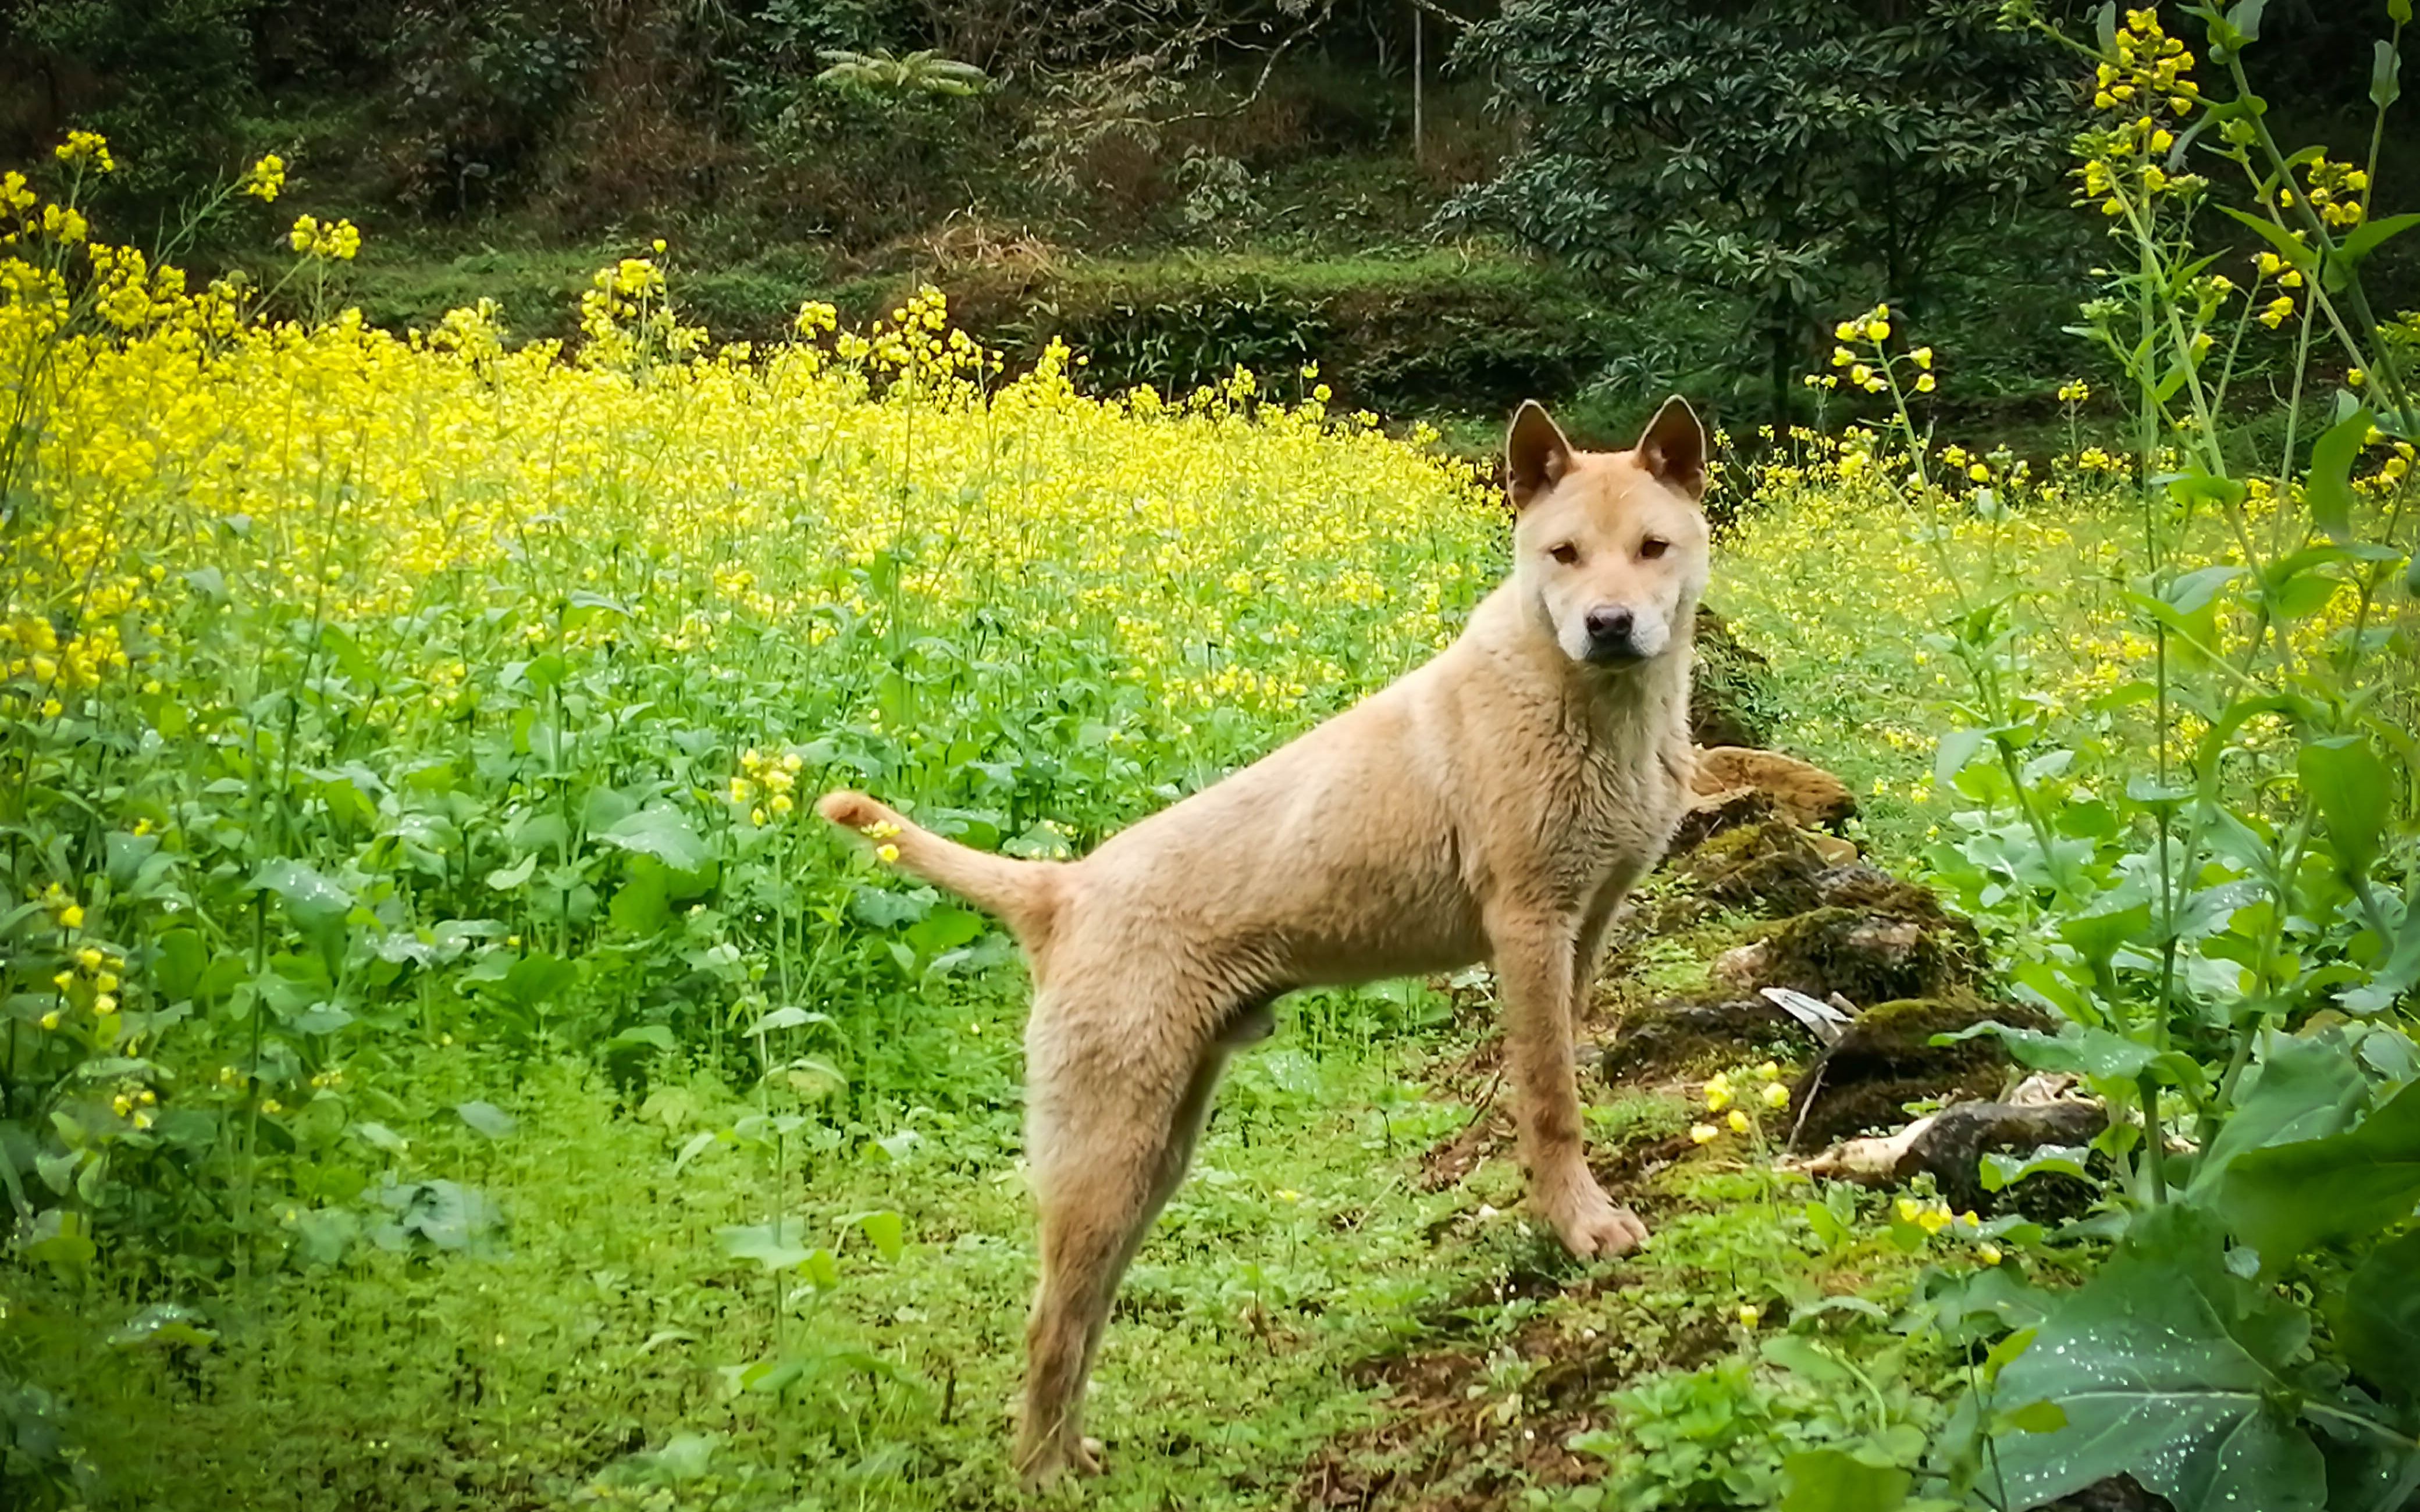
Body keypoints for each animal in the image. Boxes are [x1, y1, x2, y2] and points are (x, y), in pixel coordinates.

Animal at [823, 394, 1713, 1480]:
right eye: (1565, 554)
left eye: (1653, 547)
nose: (1609, 625)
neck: (1586, 705)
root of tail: (1060, 892)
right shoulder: (1529, 922)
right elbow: (1551, 1102)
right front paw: (1581, 1224)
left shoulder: (1586, 924)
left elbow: (1561, 1071)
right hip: (1105, 1145)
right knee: (1047, 1323)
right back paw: (1043, 1474)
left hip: (1154, 1150)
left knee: (1084, 1309)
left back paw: (1076, 1455)